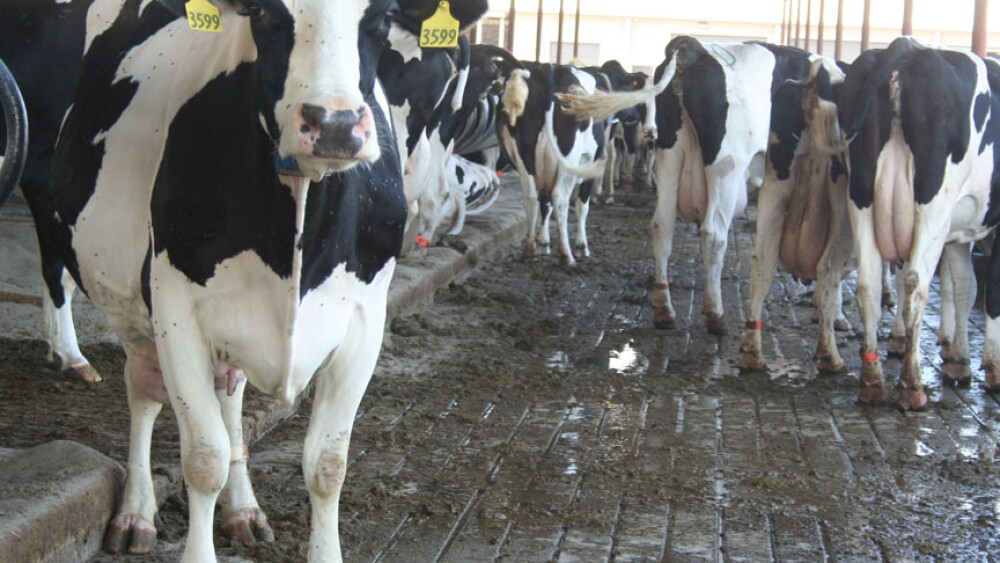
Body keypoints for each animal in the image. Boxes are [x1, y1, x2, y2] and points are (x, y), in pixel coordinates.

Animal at [22, 1, 486, 562]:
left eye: (380, 17)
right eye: (265, 14)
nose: (334, 123)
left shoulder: (363, 324)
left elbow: (328, 464)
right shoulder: (176, 312)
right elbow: (203, 459)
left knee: (230, 396)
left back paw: (243, 510)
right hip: (120, 289)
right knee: (142, 389)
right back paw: (135, 512)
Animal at [558, 38, 822, 334]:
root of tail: (690, 45)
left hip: (670, 153)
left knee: (662, 225)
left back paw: (664, 309)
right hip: (725, 165)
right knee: (714, 233)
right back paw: (715, 313)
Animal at [839, 37, 1000, 408]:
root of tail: (908, 50)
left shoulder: (960, 234)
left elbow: (965, 285)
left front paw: (960, 360)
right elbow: (991, 292)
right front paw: (992, 369)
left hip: (862, 193)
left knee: (869, 283)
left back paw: (873, 381)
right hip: (933, 201)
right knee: (915, 283)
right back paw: (911, 385)